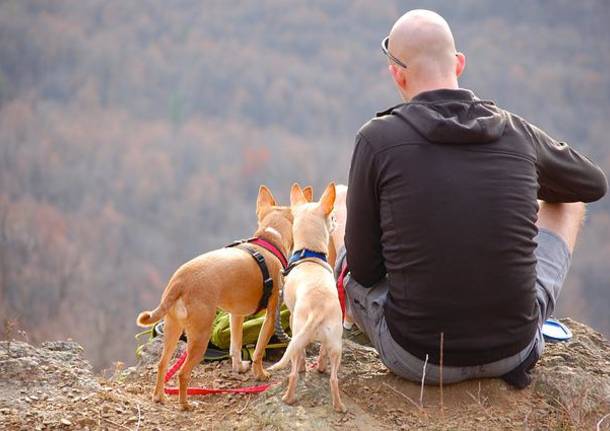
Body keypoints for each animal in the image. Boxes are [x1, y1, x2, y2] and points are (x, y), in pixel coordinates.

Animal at [136, 186, 292, 412]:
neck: (269, 240)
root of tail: (180, 281)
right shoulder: (271, 315)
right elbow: (259, 350)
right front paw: (260, 374)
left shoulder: (236, 314)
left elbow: (236, 345)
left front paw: (239, 367)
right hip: (200, 336)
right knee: (182, 373)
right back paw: (185, 404)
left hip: (173, 329)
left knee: (162, 364)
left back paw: (159, 397)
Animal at [268, 184, 346, 414]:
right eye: (332, 217)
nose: (336, 221)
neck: (308, 254)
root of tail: (318, 310)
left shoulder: (292, 317)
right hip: (336, 343)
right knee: (333, 377)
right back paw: (338, 404)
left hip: (298, 332)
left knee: (294, 370)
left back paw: (288, 398)